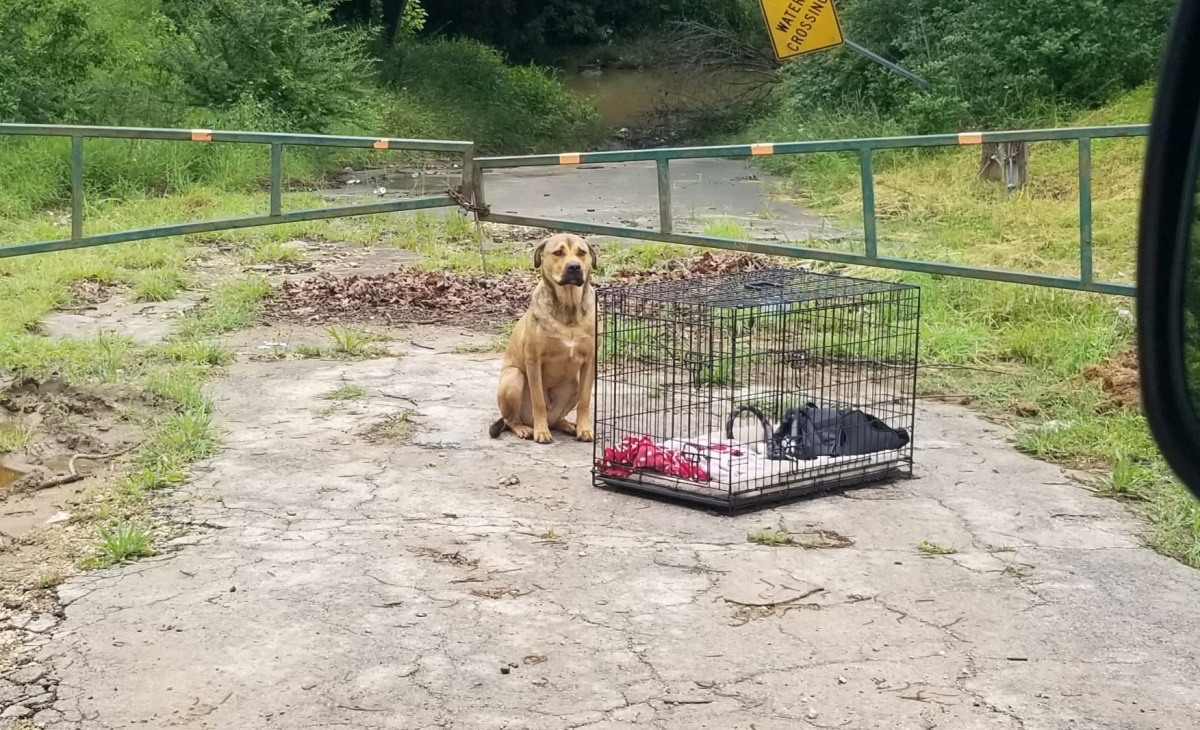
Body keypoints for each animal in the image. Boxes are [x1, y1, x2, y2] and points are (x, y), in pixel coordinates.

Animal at [489, 232, 597, 444]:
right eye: (558, 252)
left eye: (582, 253)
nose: (574, 267)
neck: (568, 311)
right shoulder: (534, 361)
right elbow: (538, 399)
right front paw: (541, 432)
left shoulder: (589, 361)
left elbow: (585, 400)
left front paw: (584, 429)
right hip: (513, 377)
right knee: (511, 419)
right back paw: (524, 428)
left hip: (575, 381)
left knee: (557, 419)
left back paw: (568, 425)